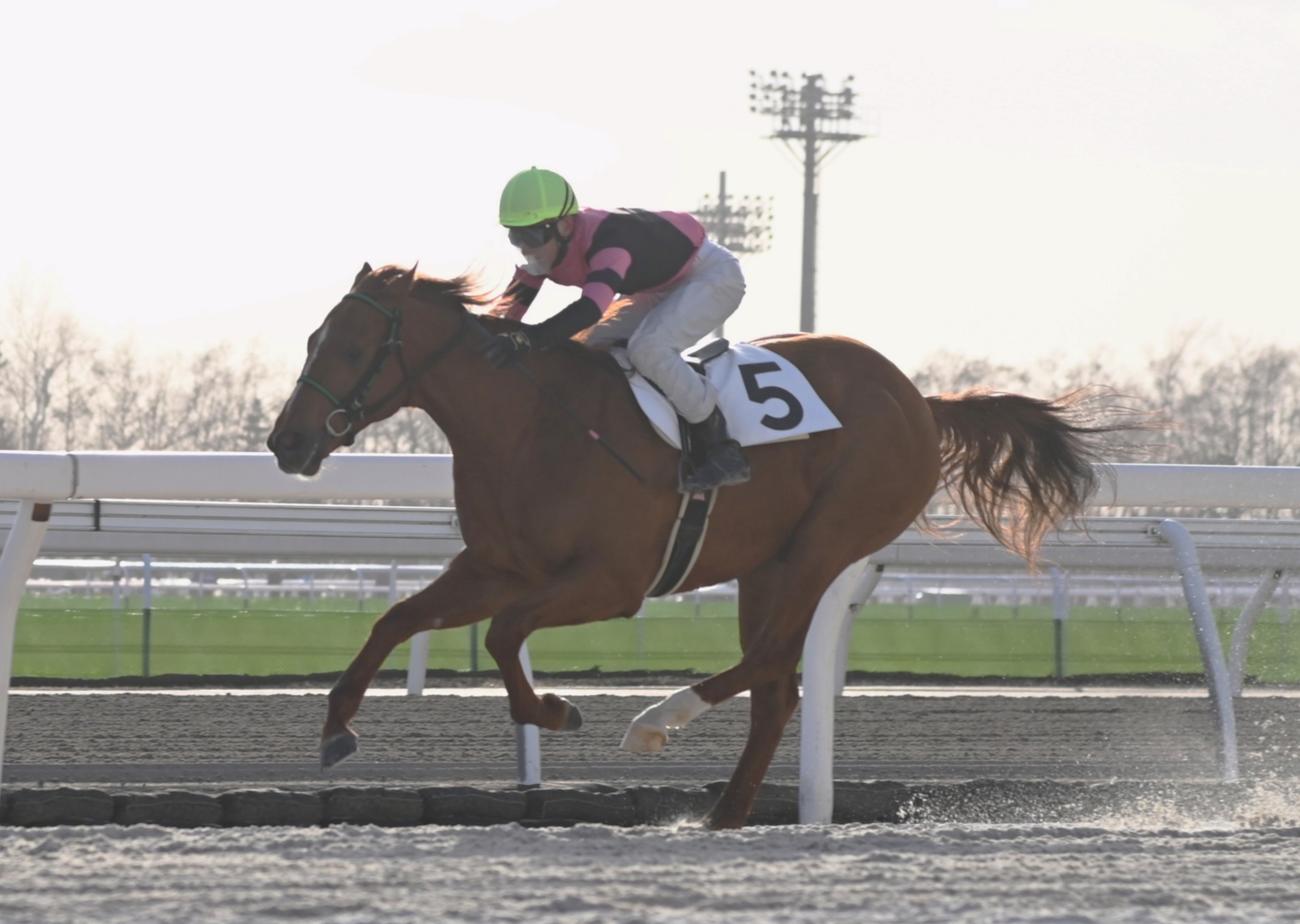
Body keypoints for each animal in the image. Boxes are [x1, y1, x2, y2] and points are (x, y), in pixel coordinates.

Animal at [268, 262, 1119, 828]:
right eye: (312, 337)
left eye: (351, 348)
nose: (287, 442)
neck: (529, 425)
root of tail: (921, 399)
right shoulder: (498, 566)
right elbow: (399, 619)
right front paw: (337, 729)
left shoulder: (613, 580)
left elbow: (506, 634)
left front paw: (555, 710)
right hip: (765, 565)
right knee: (775, 688)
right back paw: (724, 814)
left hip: (828, 539)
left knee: (770, 661)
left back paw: (657, 722)